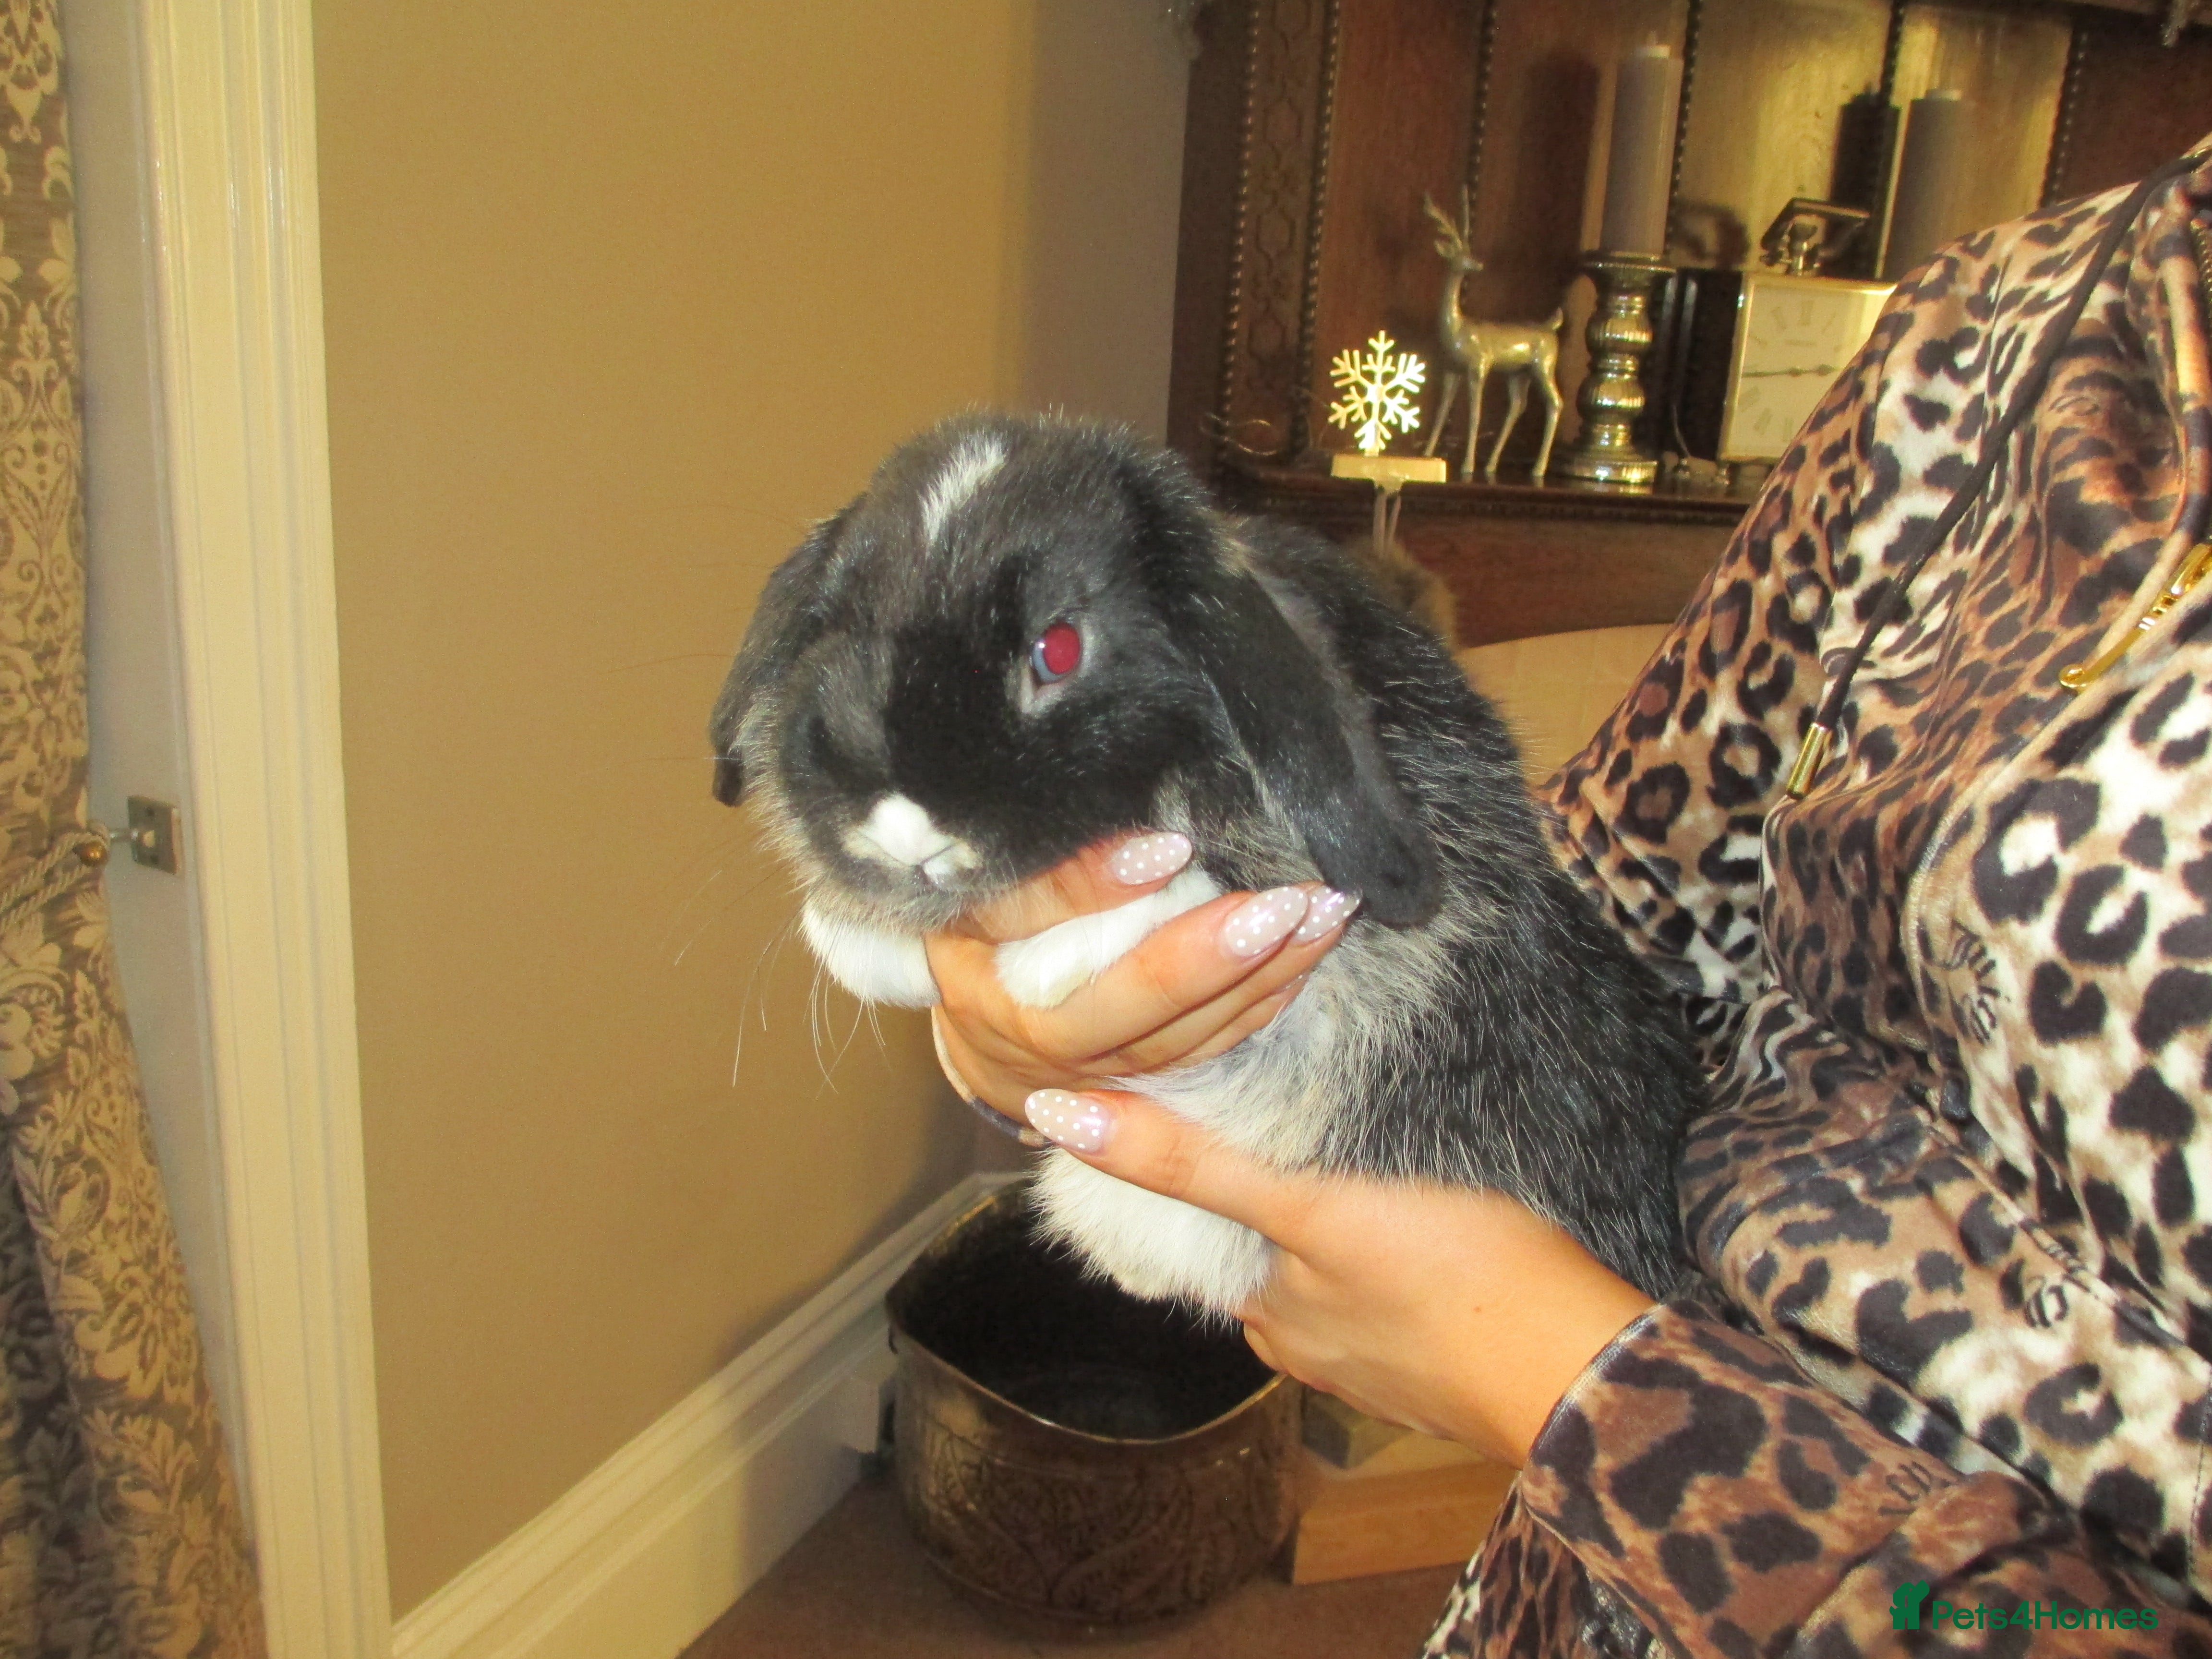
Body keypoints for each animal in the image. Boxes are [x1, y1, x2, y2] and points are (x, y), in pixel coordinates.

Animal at [708, 412, 1702, 1310]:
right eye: (831, 632)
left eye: (1058, 648)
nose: (904, 831)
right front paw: (866, 944)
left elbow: (1214, 896)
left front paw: (1046, 965)